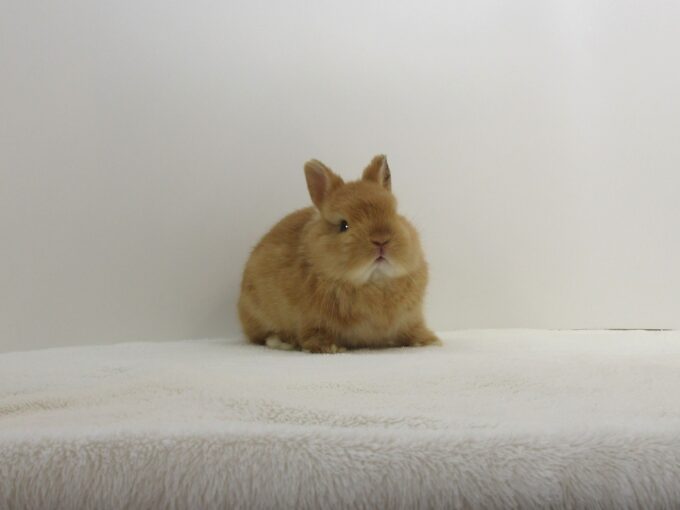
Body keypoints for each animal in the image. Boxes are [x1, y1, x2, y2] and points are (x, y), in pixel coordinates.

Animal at [238, 154, 440, 353]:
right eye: (344, 225)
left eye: (395, 214)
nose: (381, 240)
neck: (374, 284)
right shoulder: (311, 321)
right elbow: (313, 335)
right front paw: (331, 347)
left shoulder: (410, 319)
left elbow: (413, 330)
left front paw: (430, 341)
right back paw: (281, 341)